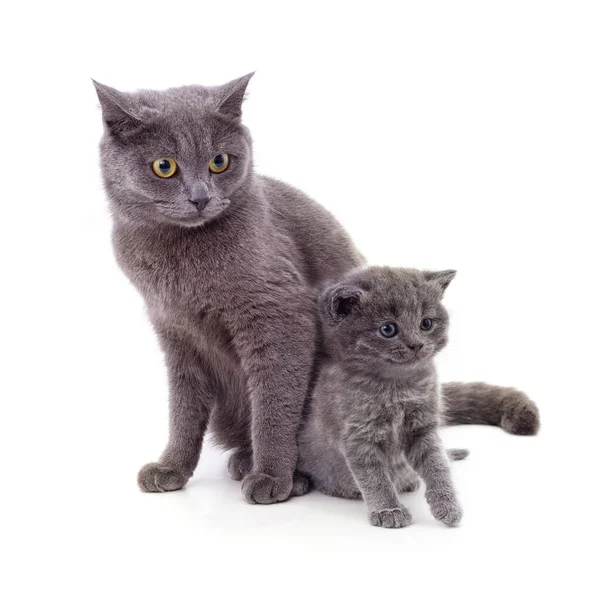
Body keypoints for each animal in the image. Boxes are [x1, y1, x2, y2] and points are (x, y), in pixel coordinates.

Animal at [298, 268, 468, 528]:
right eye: (388, 329)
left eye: (426, 323)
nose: (416, 344)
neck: (396, 387)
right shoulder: (359, 434)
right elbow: (373, 476)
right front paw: (389, 509)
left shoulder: (423, 426)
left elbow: (437, 463)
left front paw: (448, 505)